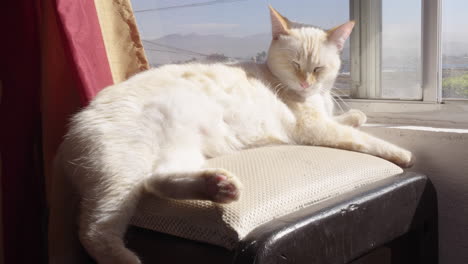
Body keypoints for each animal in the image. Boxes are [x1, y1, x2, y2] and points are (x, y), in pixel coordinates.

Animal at [47, 7, 414, 264]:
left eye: (319, 68)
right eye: (295, 64)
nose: (305, 82)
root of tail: (71, 131)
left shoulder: (324, 115)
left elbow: (349, 119)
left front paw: (356, 114)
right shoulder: (313, 128)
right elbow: (362, 139)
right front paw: (403, 154)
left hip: (177, 152)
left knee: (156, 181)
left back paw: (219, 187)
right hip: (121, 173)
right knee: (94, 231)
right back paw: (127, 258)